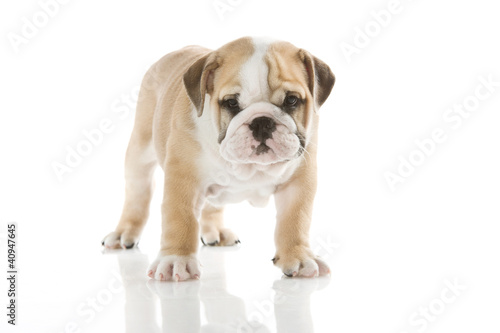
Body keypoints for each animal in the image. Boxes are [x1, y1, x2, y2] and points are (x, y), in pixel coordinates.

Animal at [102, 36, 336, 280]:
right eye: (231, 103)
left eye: (291, 100)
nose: (262, 122)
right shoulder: (183, 177)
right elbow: (180, 217)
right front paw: (176, 260)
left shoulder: (299, 181)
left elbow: (295, 220)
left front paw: (299, 258)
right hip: (140, 150)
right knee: (137, 195)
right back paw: (123, 233)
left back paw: (215, 232)